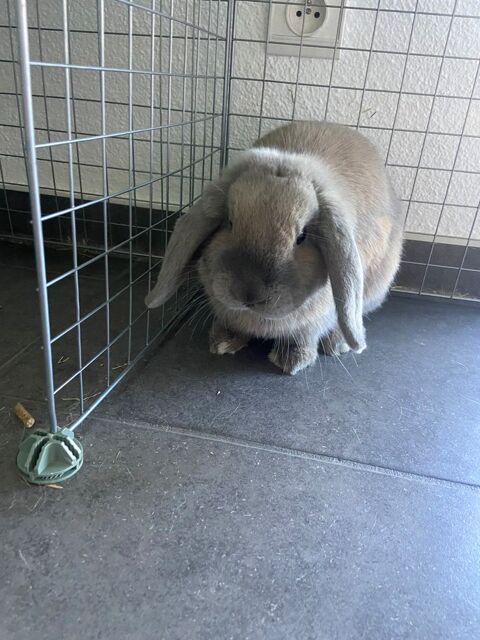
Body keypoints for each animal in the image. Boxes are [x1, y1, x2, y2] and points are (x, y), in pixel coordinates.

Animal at [145, 121, 403, 375]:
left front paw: (291, 360)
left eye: (302, 236)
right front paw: (223, 342)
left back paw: (337, 344)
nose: (248, 294)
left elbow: (304, 335)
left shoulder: (317, 317)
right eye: (230, 222)